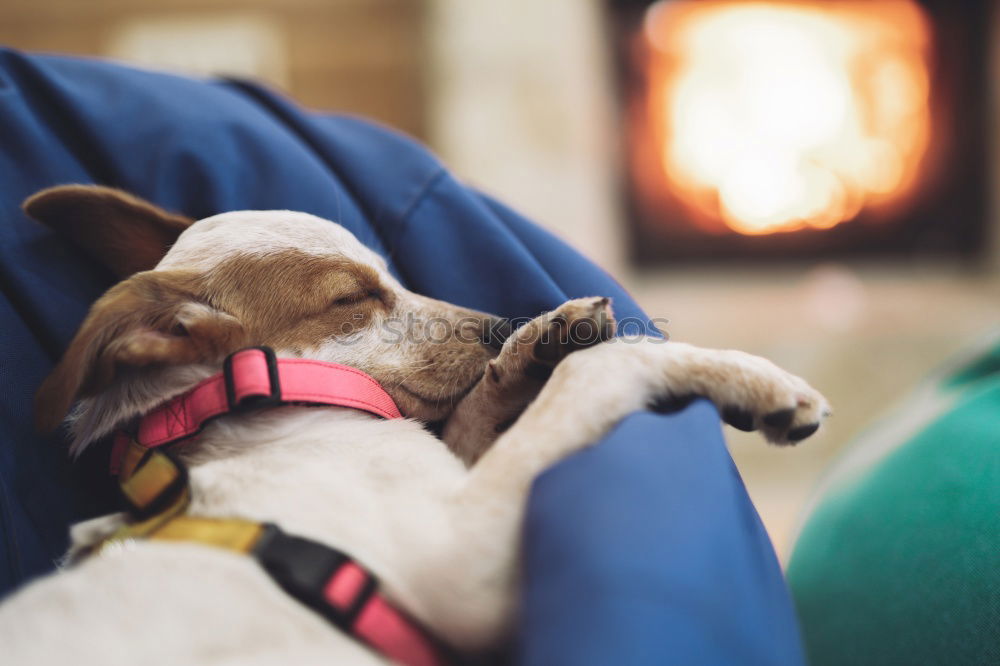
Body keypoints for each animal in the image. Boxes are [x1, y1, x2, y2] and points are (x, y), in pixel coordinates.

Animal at [0, 184, 828, 660]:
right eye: (349, 298)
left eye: (391, 276)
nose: (499, 324)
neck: (263, 408)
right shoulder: (463, 568)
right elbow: (599, 372)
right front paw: (755, 379)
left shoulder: (458, 480)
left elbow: (483, 409)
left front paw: (539, 344)